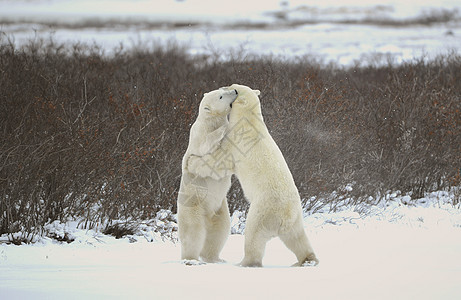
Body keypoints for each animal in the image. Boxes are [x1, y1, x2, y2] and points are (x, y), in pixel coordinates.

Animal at [177, 87, 237, 264]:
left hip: (219, 209)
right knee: (193, 233)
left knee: (219, 231)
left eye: (223, 89)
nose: (235, 90)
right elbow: (206, 144)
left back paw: (215, 259)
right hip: (193, 205)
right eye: (221, 96)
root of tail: (208, 215)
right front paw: (224, 130)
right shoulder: (199, 133)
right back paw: (190, 259)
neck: (211, 120)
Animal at [186, 84, 316, 268]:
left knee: (254, 234)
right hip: (297, 217)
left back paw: (244, 262)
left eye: (234, 89)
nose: (228, 87)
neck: (250, 121)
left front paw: (192, 162)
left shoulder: (236, 141)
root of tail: (287, 215)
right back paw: (307, 260)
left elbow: (219, 162)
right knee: (297, 238)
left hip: (264, 210)